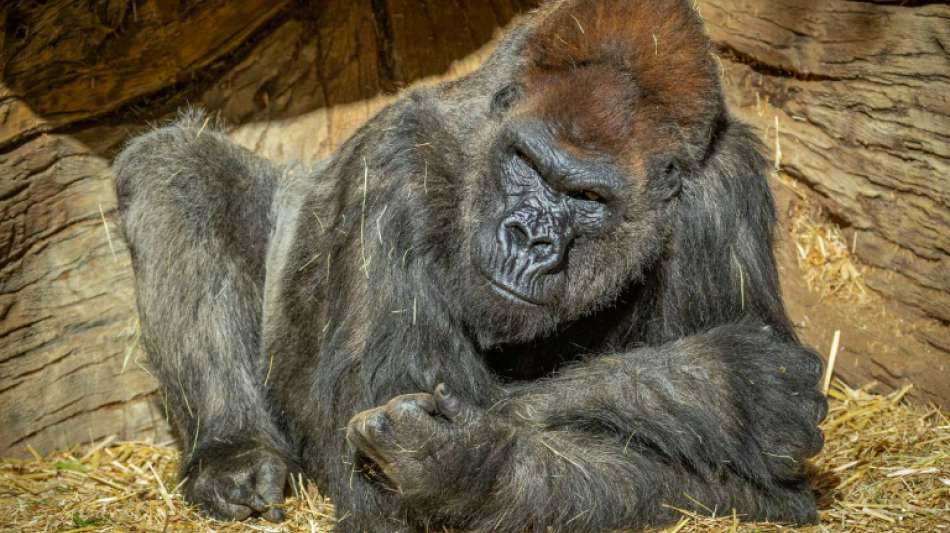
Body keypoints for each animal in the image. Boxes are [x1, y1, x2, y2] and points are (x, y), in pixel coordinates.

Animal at [113, 1, 827, 531]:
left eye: (586, 198)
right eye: (527, 165)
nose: (529, 237)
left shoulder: (724, 193)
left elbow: (762, 495)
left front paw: (469, 467)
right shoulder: (395, 167)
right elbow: (374, 481)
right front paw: (722, 386)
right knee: (175, 169)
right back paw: (231, 454)